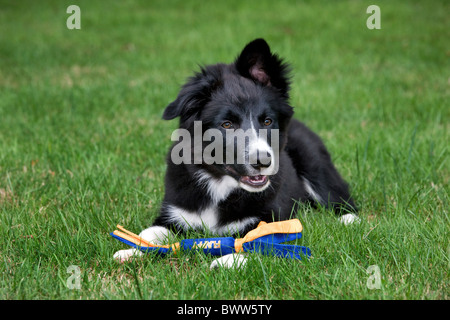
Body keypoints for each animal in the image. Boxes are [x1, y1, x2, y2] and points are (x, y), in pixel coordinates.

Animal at [115, 38, 358, 268]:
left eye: (267, 121)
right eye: (227, 124)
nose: (263, 161)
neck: (221, 184)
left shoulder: (274, 218)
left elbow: (256, 241)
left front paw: (228, 262)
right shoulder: (175, 212)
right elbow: (149, 233)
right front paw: (129, 251)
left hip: (314, 163)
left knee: (339, 198)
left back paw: (350, 221)